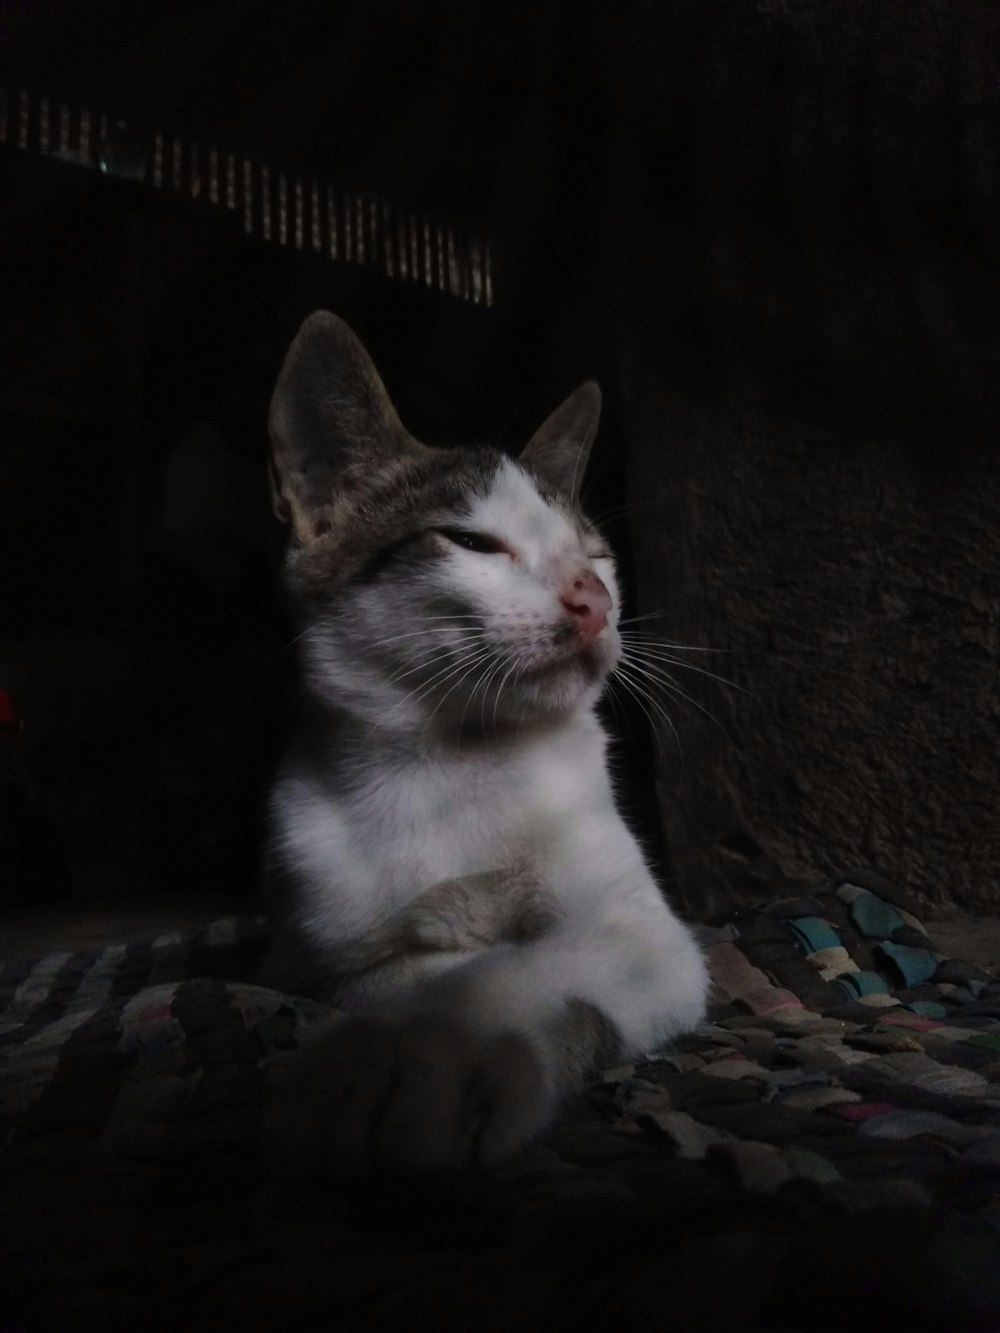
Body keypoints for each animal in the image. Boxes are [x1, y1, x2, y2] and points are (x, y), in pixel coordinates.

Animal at [262, 309, 709, 1167]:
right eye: (472, 542)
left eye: (595, 555)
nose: (595, 597)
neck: (452, 761)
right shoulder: (325, 954)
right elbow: (395, 968)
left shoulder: (647, 928)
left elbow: (524, 960)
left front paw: (442, 1047)